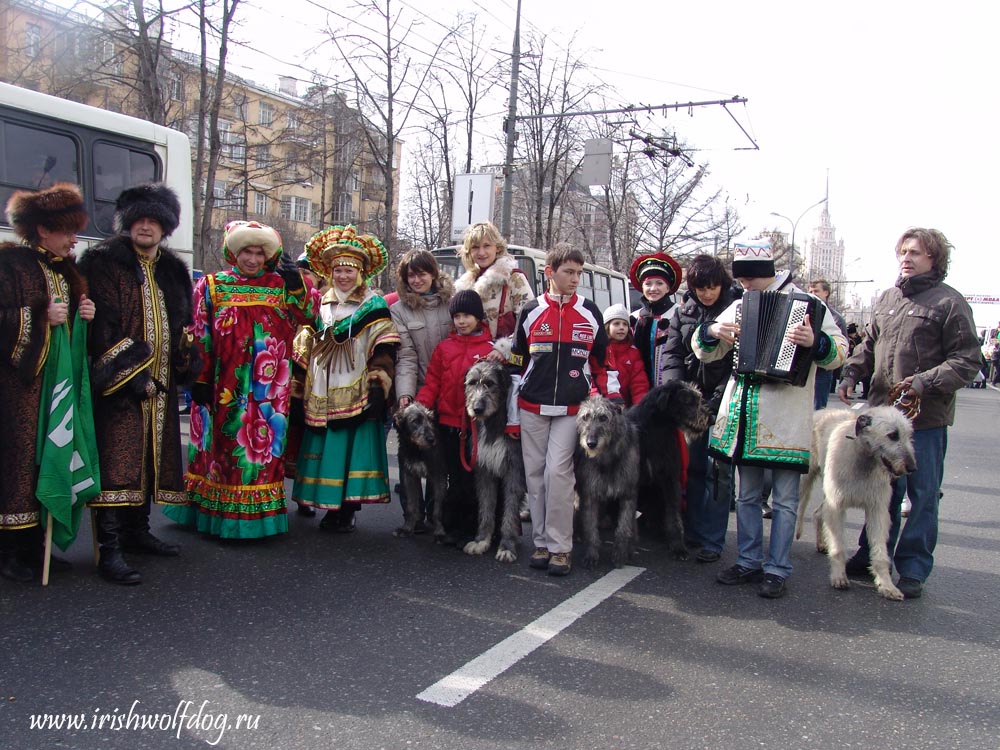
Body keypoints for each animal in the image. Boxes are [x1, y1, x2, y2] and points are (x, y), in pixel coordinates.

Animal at [796, 408, 916, 604]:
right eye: (892, 435)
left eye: (909, 435)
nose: (912, 467)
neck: (863, 458)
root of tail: (821, 411)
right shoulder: (836, 505)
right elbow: (838, 546)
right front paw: (839, 576)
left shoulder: (877, 508)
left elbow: (880, 551)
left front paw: (887, 585)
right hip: (806, 477)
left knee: (818, 513)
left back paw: (821, 542)